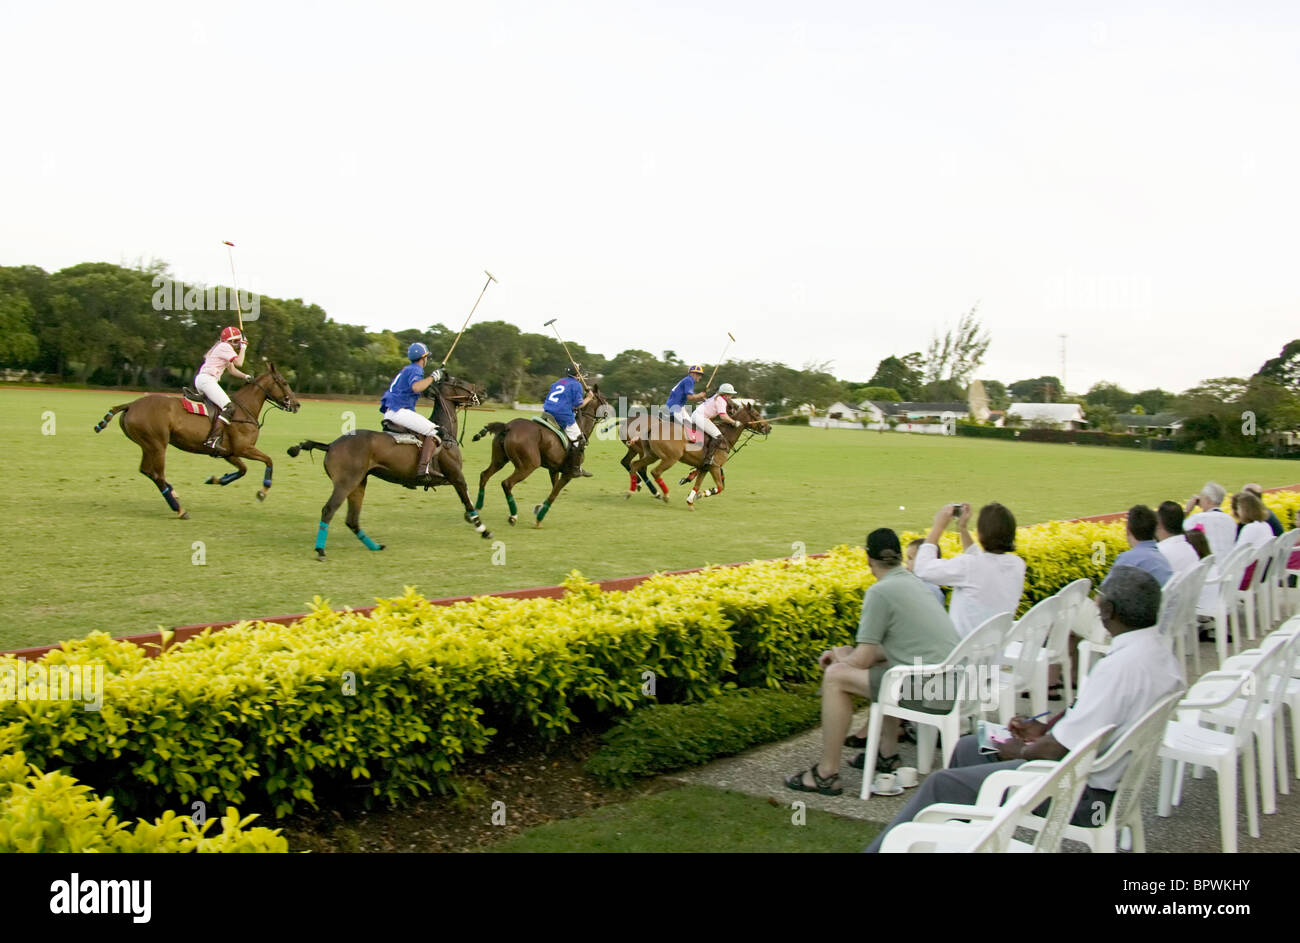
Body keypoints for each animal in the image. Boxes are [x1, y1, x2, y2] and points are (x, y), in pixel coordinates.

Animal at [94, 361, 301, 515]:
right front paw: (262, 492)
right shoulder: (244, 448)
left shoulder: (229, 452)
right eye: (284, 382)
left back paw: (174, 494)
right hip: (158, 444)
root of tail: (131, 405)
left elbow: (243, 470)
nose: (297, 404)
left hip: (147, 445)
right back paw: (179, 509)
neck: (245, 409)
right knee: (157, 474)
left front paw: (214, 479)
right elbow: (269, 460)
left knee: (147, 471)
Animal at [287, 371, 488, 556]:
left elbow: (466, 497)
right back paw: (320, 550)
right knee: (329, 510)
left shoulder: (449, 478)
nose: (483, 392)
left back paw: (374, 546)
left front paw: (471, 518)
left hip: (359, 483)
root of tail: (330, 445)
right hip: (346, 483)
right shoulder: (455, 475)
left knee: (352, 520)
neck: (445, 434)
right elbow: (466, 497)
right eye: (459, 382)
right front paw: (482, 528)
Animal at [470, 385, 611, 530]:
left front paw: (539, 509)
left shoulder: (554, 469)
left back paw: (477, 508)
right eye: (604, 399)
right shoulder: (568, 474)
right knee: (507, 483)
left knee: (484, 475)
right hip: (528, 465)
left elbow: (553, 489)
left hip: (500, 460)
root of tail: (508, 426)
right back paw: (513, 516)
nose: (610, 412)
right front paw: (538, 519)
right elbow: (554, 494)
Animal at [621, 400, 769, 512]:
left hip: (652, 455)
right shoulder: (714, 466)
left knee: (634, 465)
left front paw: (691, 501)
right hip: (670, 458)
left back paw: (631, 491)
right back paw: (665, 495)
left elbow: (698, 484)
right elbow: (720, 487)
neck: (726, 436)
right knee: (654, 471)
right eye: (756, 414)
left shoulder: (704, 467)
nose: (769, 427)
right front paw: (701, 494)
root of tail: (652, 427)